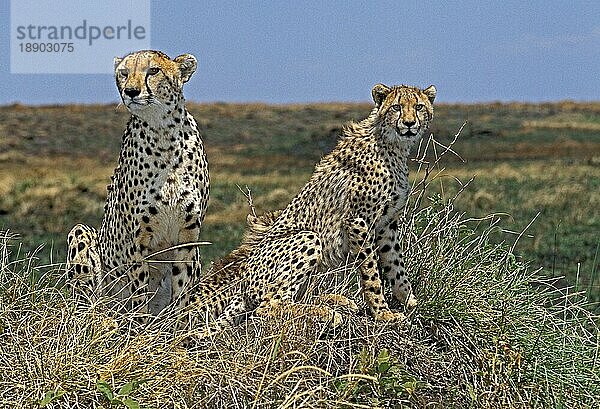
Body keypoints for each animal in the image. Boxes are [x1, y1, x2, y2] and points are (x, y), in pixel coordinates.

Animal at [66, 49, 209, 318]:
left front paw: (179, 326)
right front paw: (139, 326)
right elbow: (140, 293)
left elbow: (182, 290)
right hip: (84, 238)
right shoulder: (138, 240)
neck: (163, 133)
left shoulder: (188, 237)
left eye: (153, 71)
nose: (131, 91)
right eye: (123, 73)